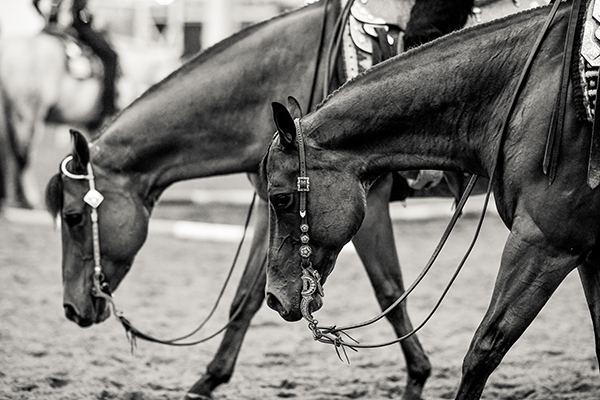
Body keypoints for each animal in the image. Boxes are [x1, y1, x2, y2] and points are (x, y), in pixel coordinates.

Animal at [44, 1, 508, 398]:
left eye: (73, 217)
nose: (69, 308)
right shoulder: (276, 215)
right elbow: (246, 299)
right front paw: (208, 381)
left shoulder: (365, 207)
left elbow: (389, 292)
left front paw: (417, 378)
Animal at [264, 3, 600, 400]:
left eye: (281, 198)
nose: (273, 297)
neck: (525, 94)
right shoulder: (589, 255)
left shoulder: (544, 243)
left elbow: (483, 349)